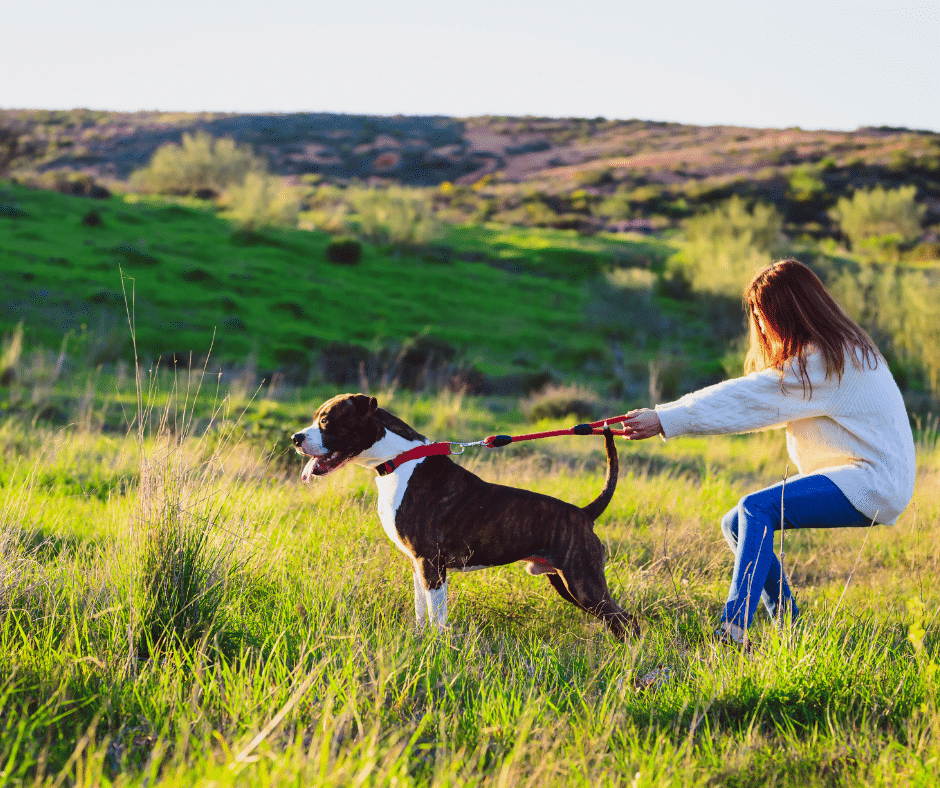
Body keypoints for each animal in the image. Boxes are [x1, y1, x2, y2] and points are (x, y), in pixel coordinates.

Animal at [292, 394, 640, 640]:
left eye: (326, 420)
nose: (296, 438)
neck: (400, 459)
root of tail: (584, 513)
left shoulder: (431, 564)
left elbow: (437, 617)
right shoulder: (418, 565)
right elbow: (422, 614)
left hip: (583, 583)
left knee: (628, 622)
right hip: (567, 582)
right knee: (618, 623)